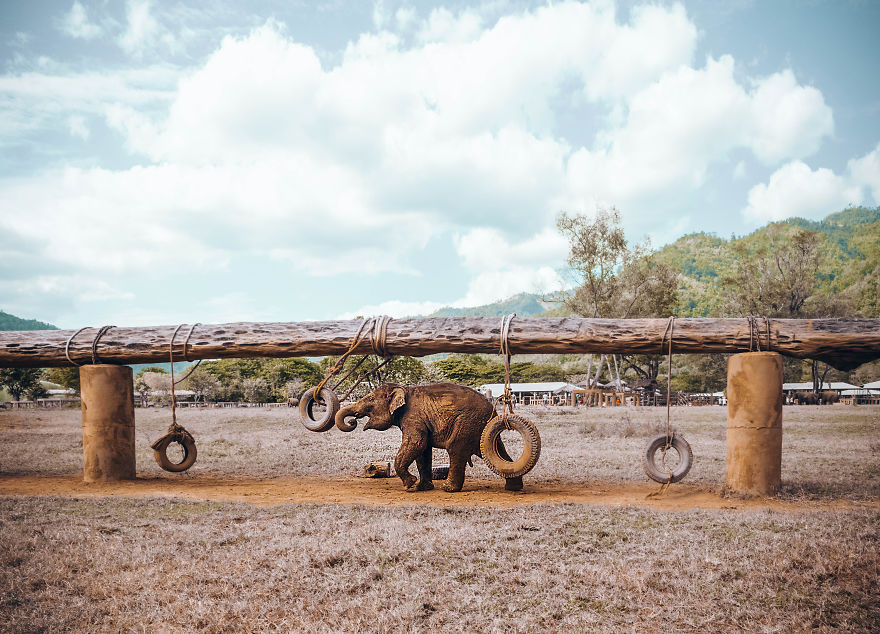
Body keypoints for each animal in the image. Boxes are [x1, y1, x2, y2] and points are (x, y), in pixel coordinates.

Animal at [335, 382, 523, 493]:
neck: (404, 388)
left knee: (455, 449)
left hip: (468, 422)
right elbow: (423, 450)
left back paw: (448, 489)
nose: (353, 421)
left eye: (370, 399)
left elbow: (417, 443)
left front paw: (410, 484)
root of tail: (493, 409)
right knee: (500, 452)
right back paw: (514, 488)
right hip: (483, 429)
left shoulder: (413, 417)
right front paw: (421, 487)